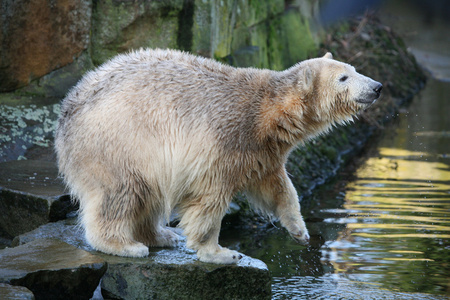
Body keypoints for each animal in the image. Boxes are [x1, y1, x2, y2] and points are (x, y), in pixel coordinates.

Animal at [54, 49, 382, 264]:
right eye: (344, 77)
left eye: (353, 68)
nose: (377, 86)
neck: (267, 114)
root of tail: (66, 111)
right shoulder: (224, 141)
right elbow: (210, 198)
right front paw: (221, 252)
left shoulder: (263, 151)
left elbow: (277, 187)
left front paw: (299, 231)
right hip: (118, 143)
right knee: (121, 192)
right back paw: (125, 245)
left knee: (148, 194)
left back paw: (161, 236)